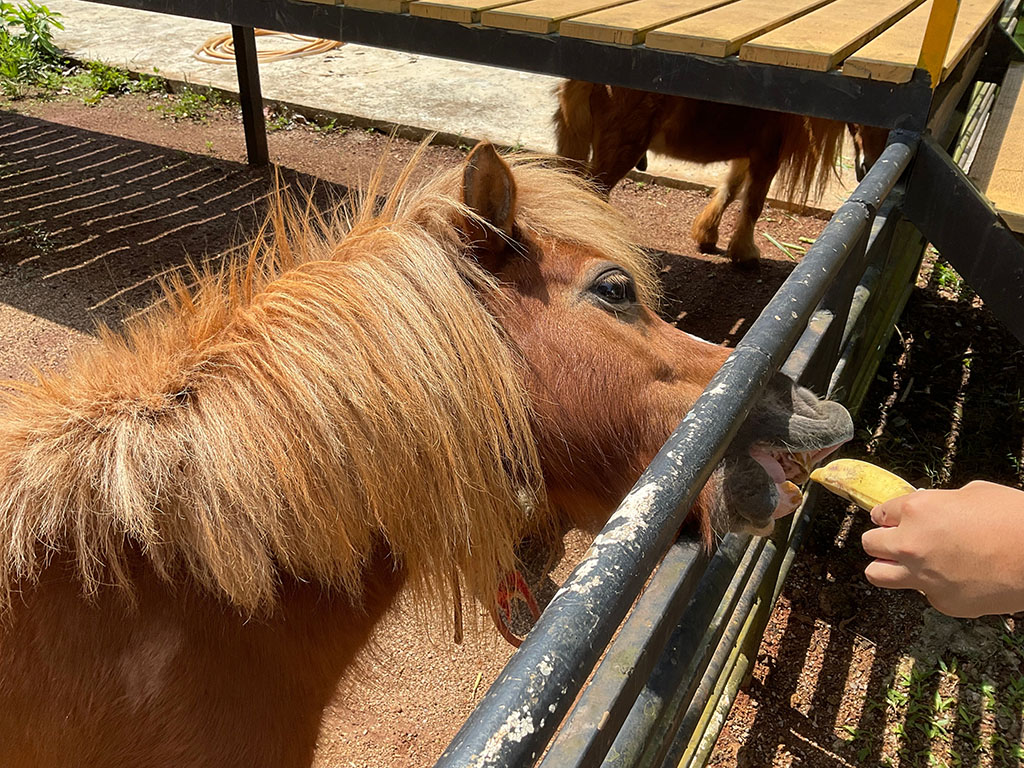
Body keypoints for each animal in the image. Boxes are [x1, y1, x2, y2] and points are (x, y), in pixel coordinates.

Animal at [554, 80, 847, 265]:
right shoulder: (766, 156)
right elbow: (753, 203)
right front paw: (745, 253)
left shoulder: (745, 155)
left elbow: (730, 190)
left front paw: (707, 235)